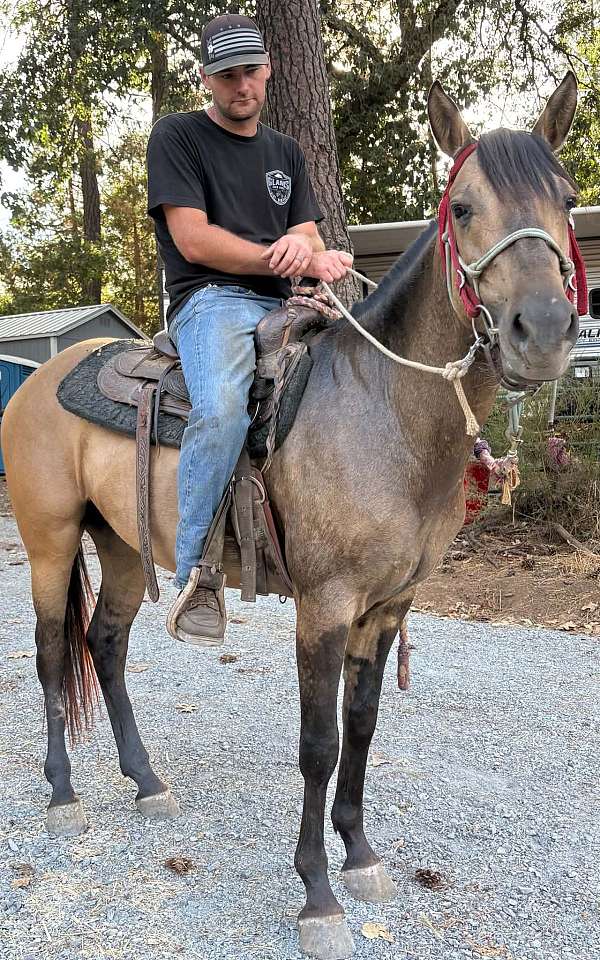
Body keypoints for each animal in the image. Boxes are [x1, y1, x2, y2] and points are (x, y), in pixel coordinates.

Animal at [1, 74, 584, 959]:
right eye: (462, 209)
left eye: (568, 198)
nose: (544, 332)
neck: (386, 410)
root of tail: (39, 379)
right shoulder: (325, 605)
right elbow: (318, 744)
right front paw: (316, 893)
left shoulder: (388, 606)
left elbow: (363, 727)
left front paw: (361, 853)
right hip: (50, 541)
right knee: (45, 654)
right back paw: (64, 792)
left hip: (125, 547)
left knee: (104, 644)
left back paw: (146, 781)